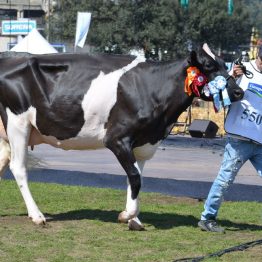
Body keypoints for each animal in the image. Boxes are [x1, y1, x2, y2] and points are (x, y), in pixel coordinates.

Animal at [0, 43, 244, 229]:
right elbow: (135, 177)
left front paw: (134, 219)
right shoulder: (117, 139)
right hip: (18, 123)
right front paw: (127, 215)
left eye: (225, 65)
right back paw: (37, 215)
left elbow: (135, 178)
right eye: (209, 65)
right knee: (18, 167)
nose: (239, 92)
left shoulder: (143, 143)